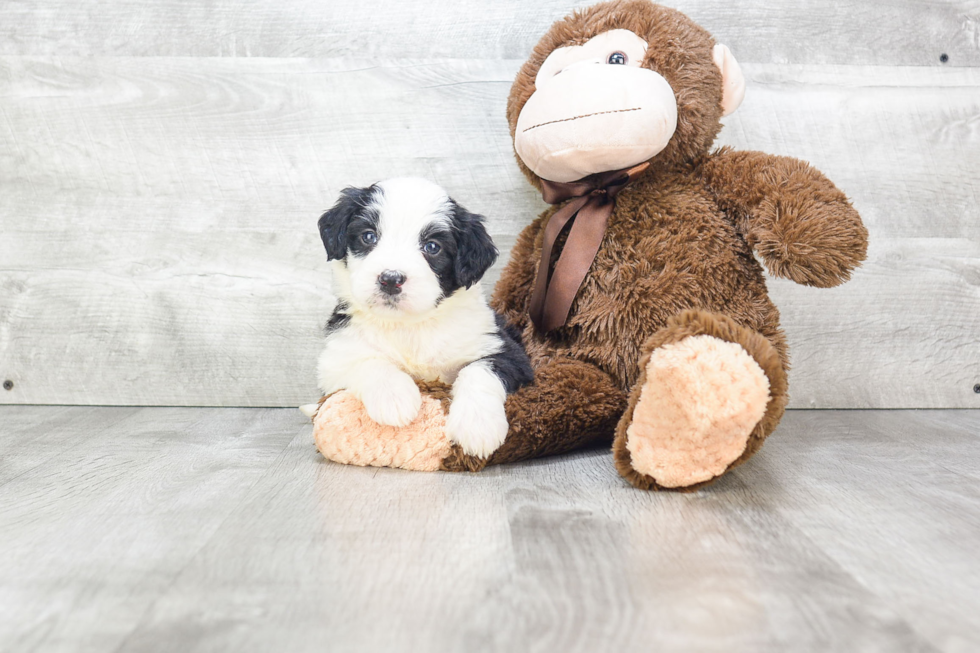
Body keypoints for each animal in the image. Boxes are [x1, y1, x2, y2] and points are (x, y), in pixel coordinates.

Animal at [310, 176, 532, 456]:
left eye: (432, 247)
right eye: (368, 236)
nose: (390, 279)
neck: (410, 325)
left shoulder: (507, 351)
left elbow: (479, 370)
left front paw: (477, 426)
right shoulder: (334, 361)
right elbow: (368, 362)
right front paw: (394, 397)